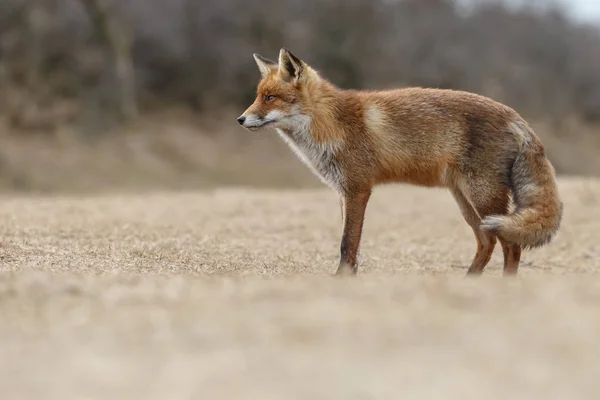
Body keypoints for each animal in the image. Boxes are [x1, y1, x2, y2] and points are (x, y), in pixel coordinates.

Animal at [238, 48, 564, 276]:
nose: (240, 119)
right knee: (488, 242)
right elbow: (349, 243)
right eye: (258, 96)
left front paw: (342, 278)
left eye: (270, 98)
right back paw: (469, 281)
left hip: (484, 198)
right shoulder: (344, 191)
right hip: (467, 201)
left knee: (511, 245)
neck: (331, 124)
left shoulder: (358, 188)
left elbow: (347, 243)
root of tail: (516, 116)